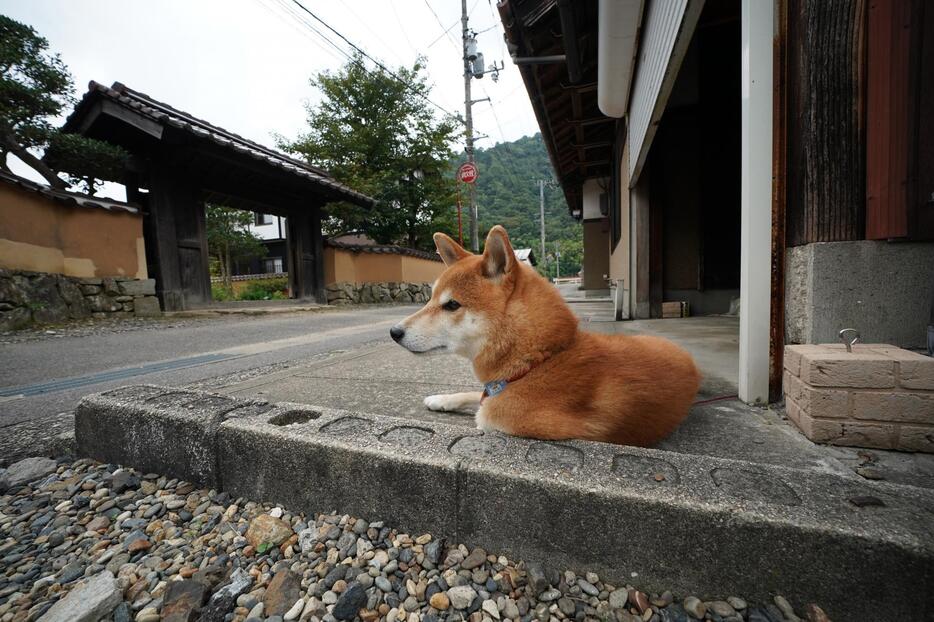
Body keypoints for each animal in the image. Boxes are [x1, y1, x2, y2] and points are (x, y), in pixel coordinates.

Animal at [390, 227, 704, 446]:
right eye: (430, 299)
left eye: (452, 305)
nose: (394, 332)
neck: (538, 361)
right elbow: (475, 395)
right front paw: (440, 399)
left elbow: (482, 408)